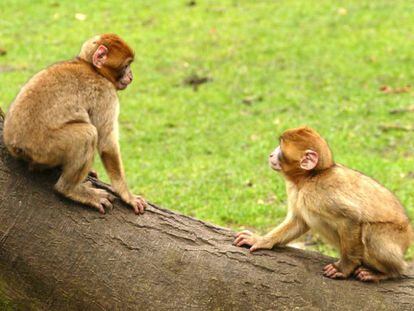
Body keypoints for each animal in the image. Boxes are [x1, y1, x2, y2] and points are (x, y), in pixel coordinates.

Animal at [2, 33, 147, 214]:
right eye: (126, 65)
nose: (131, 76)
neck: (91, 67)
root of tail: (14, 145)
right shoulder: (106, 94)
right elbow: (106, 143)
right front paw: (127, 195)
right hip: (44, 147)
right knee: (88, 134)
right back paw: (69, 189)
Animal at [234, 127, 412, 282]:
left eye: (281, 149)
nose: (271, 155)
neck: (310, 177)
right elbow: (299, 221)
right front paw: (260, 240)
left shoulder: (318, 193)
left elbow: (351, 218)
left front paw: (344, 268)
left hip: (397, 235)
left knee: (370, 233)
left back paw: (390, 272)